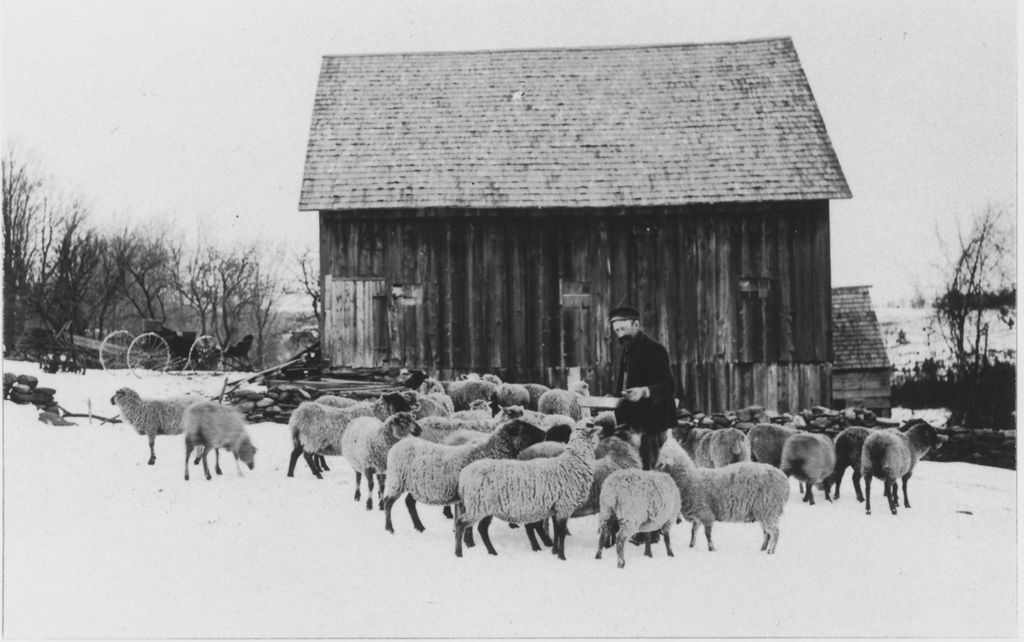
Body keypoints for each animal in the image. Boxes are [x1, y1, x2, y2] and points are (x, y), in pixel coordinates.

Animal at [380, 419, 548, 540]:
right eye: (525, 428)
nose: (545, 433)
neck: (488, 452)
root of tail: (401, 443)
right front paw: (469, 542)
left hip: (415, 485)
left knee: (409, 502)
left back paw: (420, 527)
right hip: (397, 481)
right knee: (388, 503)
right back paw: (389, 529)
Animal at [456, 427, 598, 557]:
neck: (573, 464)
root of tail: (464, 475)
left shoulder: (557, 508)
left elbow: (557, 532)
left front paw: (554, 552)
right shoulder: (564, 506)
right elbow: (561, 533)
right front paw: (562, 557)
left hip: (484, 506)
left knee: (481, 529)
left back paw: (492, 552)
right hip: (478, 505)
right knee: (461, 524)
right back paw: (459, 553)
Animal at [655, 442, 790, 552]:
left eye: (661, 463)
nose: (652, 471)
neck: (689, 480)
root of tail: (784, 481)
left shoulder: (706, 513)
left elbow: (707, 534)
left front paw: (711, 549)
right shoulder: (698, 515)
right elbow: (693, 531)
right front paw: (691, 546)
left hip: (768, 508)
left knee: (775, 532)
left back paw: (770, 551)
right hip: (762, 511)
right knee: (767, 533)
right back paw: (763, 549)